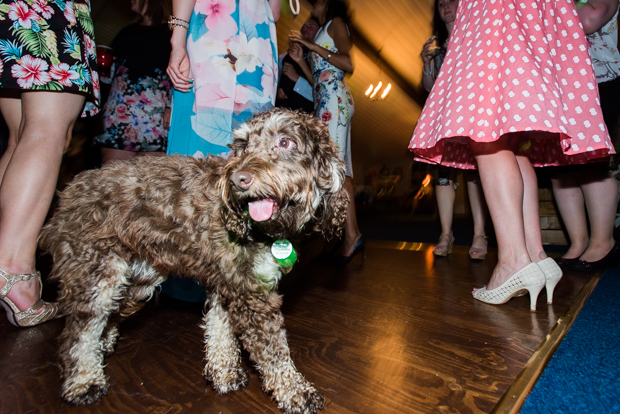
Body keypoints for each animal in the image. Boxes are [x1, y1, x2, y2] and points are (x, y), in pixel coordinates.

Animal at [38, 108, 348, 412]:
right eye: (245, 146)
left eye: (285, 142)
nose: (238, 180)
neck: (263, 229)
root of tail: (70, 190)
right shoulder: (250, 292)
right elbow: (273, 351)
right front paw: (295, 392)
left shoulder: (228, 283)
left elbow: (220, 328)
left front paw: (223, 372)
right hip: (97, 276)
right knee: (79, 332)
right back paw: (84, 380)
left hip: (138, 280)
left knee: (110, 315)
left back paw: (104, 346)